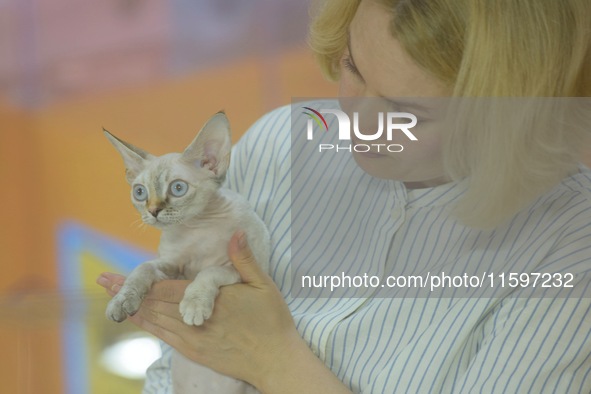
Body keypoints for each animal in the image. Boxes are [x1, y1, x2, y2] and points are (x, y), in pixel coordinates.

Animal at [103, 111, 268, 394]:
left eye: (177, 188)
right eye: (140, 192)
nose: (153, 211)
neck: (198, 226)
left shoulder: (243, 268)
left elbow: (210, 270)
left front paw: (194, 304)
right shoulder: (172, 266)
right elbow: (143, 268)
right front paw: (123, 299)